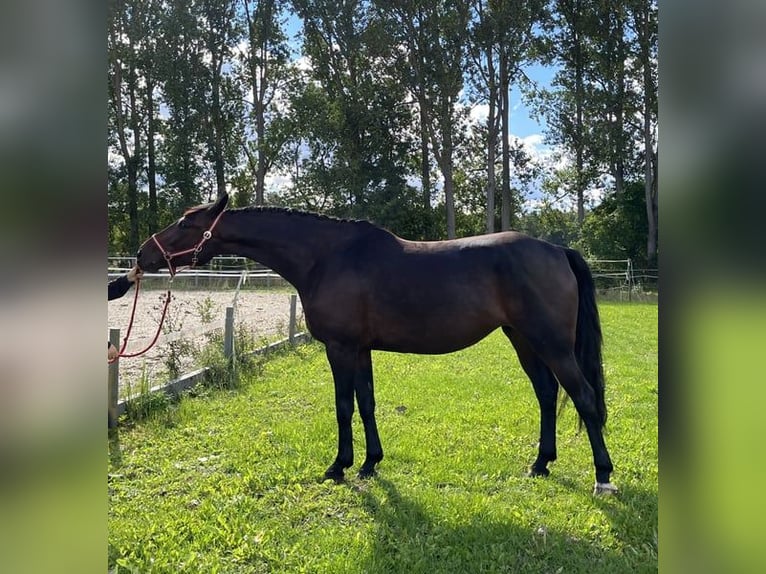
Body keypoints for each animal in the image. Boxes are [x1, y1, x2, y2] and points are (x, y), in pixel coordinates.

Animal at [136, 193, 617, 495]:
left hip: (552, 344)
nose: (142, 254)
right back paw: (540, 463)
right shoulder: (361, 349)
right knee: (548, 394)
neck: (326, 258)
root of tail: (557, 251)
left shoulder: (340, 347)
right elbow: (366, 403)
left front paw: (338, 466)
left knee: (583, 397)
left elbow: (343, 406)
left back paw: (603, 475)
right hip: (524, 341)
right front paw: (370, 463)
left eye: (185, 222)